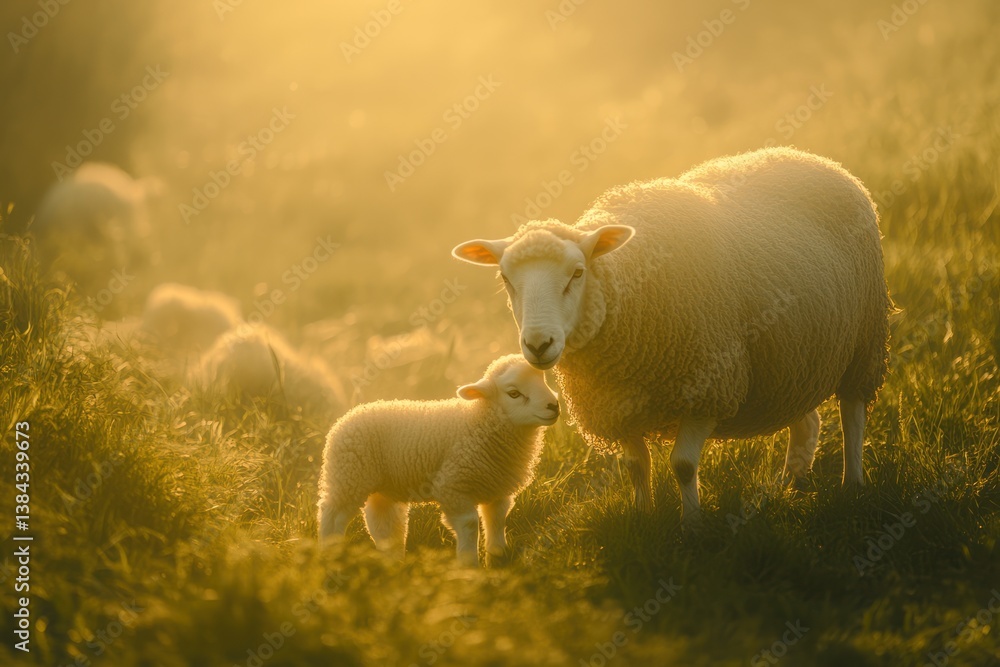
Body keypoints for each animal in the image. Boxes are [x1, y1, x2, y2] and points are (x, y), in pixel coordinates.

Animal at [317, 354, 559, 566]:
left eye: (543, 380)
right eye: (514, 393)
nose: (554, 406)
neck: (478, 421)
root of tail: (349, 415)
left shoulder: (497, 490)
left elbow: (497, 521)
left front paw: (497, 562)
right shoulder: (453, 487)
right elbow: (469, 524)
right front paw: (469, 567)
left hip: (382, 488)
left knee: (383, 524)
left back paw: (393, 562)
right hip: (348, 476)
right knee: (333, 516)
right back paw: (329, 555)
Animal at [452, 147, 890, 520]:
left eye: (577, 273)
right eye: (505, 278)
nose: (538, 344)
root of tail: (812, 157)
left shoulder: (709, 386)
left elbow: (682, 465)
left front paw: (692, 525)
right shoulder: (618, 405)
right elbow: (635, 466)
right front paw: (643, 518)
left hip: (865, 341)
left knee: (852, 414)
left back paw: (852, 484)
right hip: (795, 360)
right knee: (806, 422)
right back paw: (788, 485)